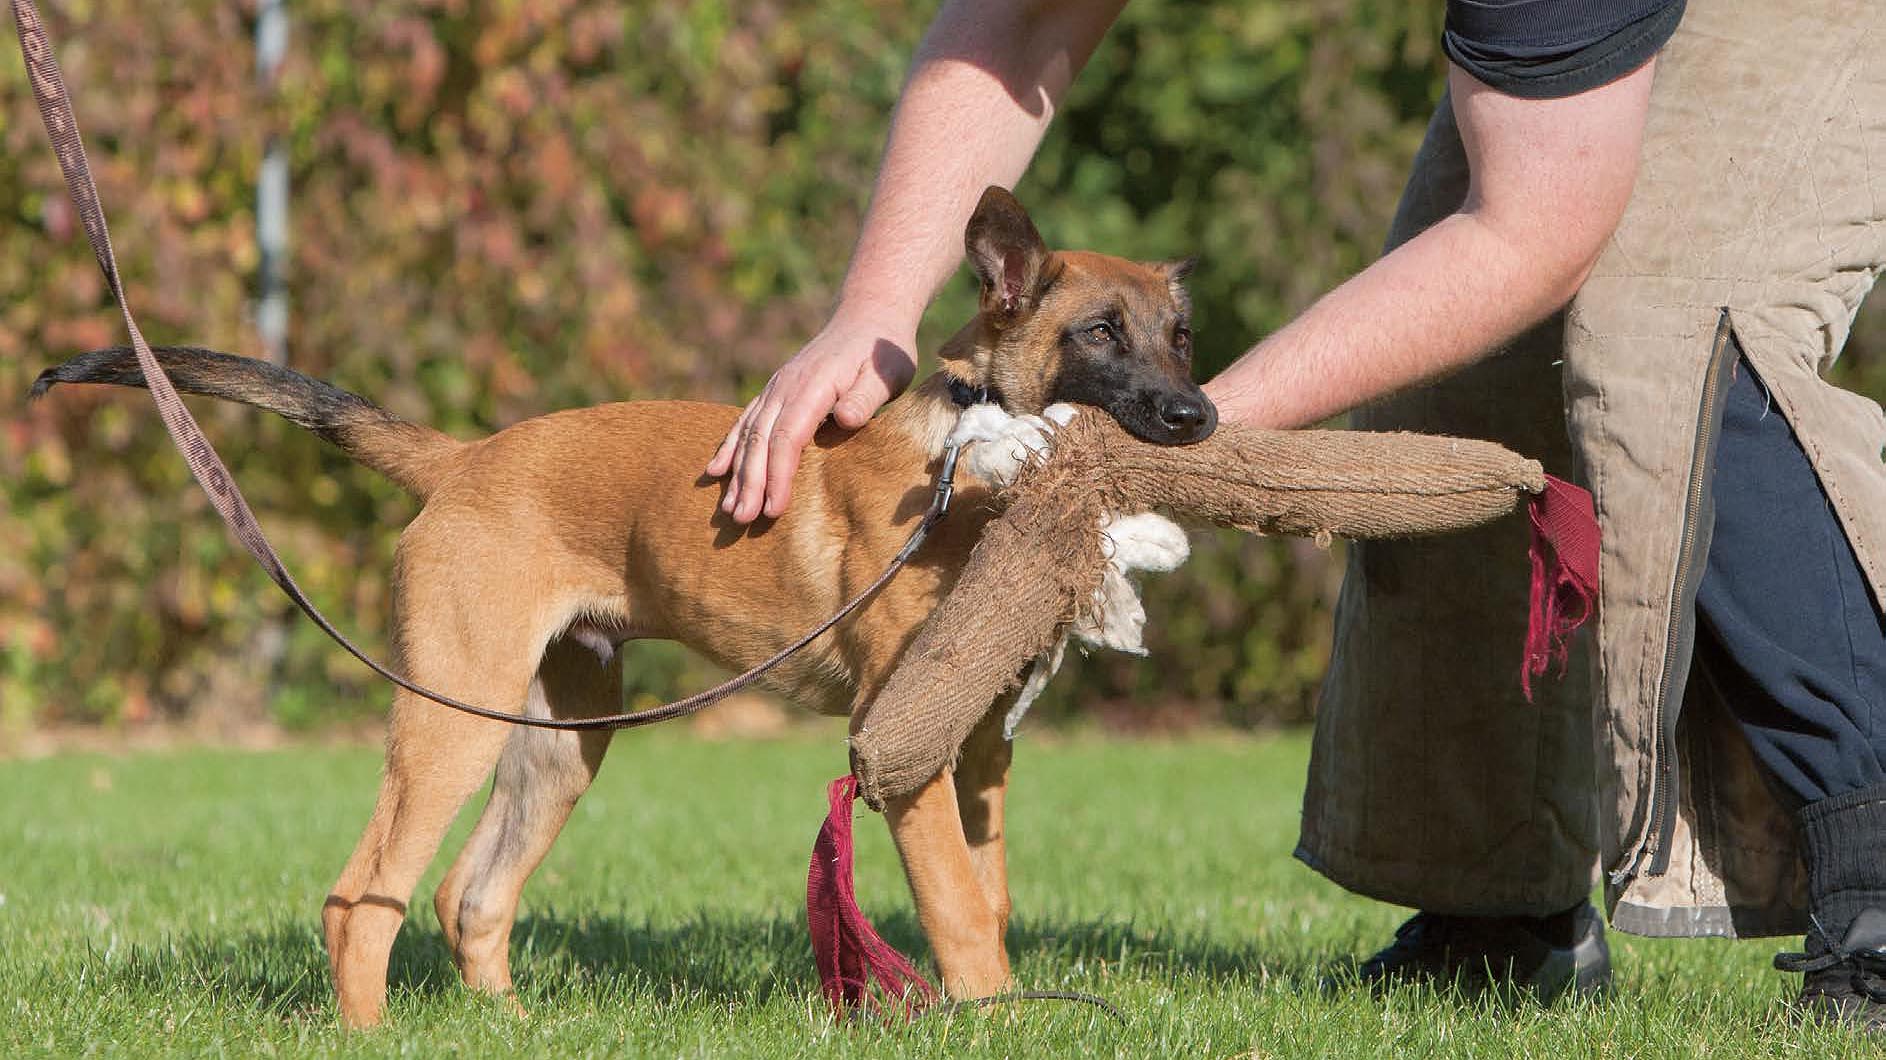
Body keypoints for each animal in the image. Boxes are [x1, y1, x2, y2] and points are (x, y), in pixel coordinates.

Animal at [33, 185, 1222, 1018]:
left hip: (562, 735)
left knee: (472, 893)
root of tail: (461, 461)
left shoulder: (978, 750)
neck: (970, 461)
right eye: (1099, 332)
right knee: (362, 894)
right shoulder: (905, 742)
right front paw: (994, 1014)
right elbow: (960, 911)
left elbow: (992, 894)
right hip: (449, 721)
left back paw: (507, 1026)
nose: (1197, 416)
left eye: (1180, 337)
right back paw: (370, 1031)